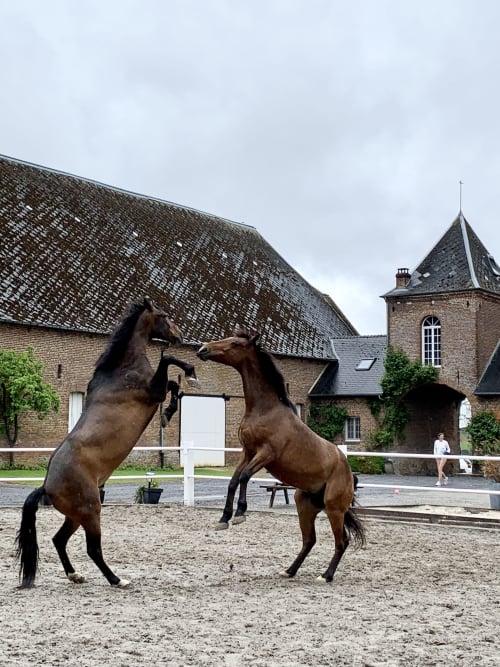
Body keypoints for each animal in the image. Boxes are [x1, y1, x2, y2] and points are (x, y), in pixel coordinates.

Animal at [16, 297, 198, 589]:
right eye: (163, 315)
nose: (179, 335)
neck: (122, 370)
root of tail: (46, 485)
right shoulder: (152, 391)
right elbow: (168, 366)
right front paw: (189, 376)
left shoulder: (156, 389)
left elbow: (172, 383)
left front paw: (169, 413)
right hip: (92, 511)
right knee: (93, 548)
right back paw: (117, 580)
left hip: (76, 516)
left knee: (59, 540)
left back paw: (75, 575)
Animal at [197, 329, 365, 583]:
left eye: (235, 343)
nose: (203, 349)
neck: (265, 410)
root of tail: (348, 471)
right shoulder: (247, 452)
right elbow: (233, 481)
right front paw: (224, 519)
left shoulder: (266, 454)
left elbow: (244, 477)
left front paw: (240, 513)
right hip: (304, 505)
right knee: (309, 540)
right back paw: (289, 570)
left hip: (334, 509)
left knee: (341, 542)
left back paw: (325, 576)